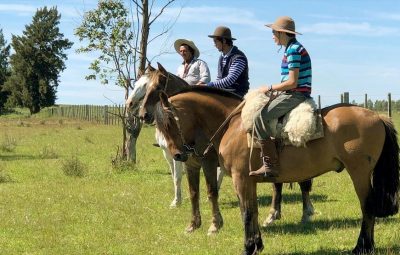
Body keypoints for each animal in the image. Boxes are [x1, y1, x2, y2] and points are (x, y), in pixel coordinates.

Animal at [140, 84, 396, 254]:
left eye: (170, 122)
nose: (178, 155)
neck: (235, 125)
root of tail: (378, 116)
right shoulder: (248, 181)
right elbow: (252, 211)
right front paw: (256, 244)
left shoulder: (240, 179)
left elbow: (246, 213)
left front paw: (247, 247)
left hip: (359, 173)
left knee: (367, 207)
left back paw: (362, 246)